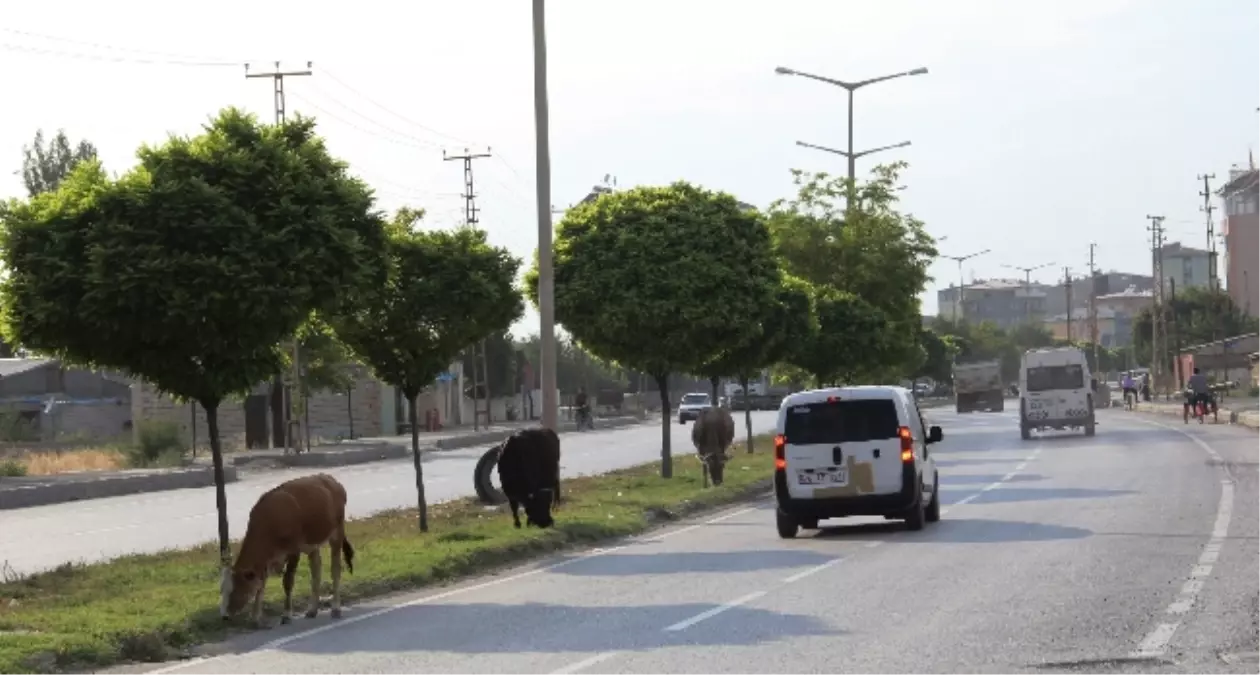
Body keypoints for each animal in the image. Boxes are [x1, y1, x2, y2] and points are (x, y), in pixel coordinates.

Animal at [220, 470, 355, 624]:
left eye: (235, 589)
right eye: (222, 590)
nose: (224, 616)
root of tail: (330, 479)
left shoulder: (293, 551)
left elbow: (288, 581)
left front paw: (286, 614)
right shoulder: (267, 559)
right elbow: (261, 584)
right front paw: (255, 616)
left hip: (337, 532)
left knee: (335, 569)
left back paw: (336, 608)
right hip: (312, 543)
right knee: (316, 571)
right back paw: (312, 609)